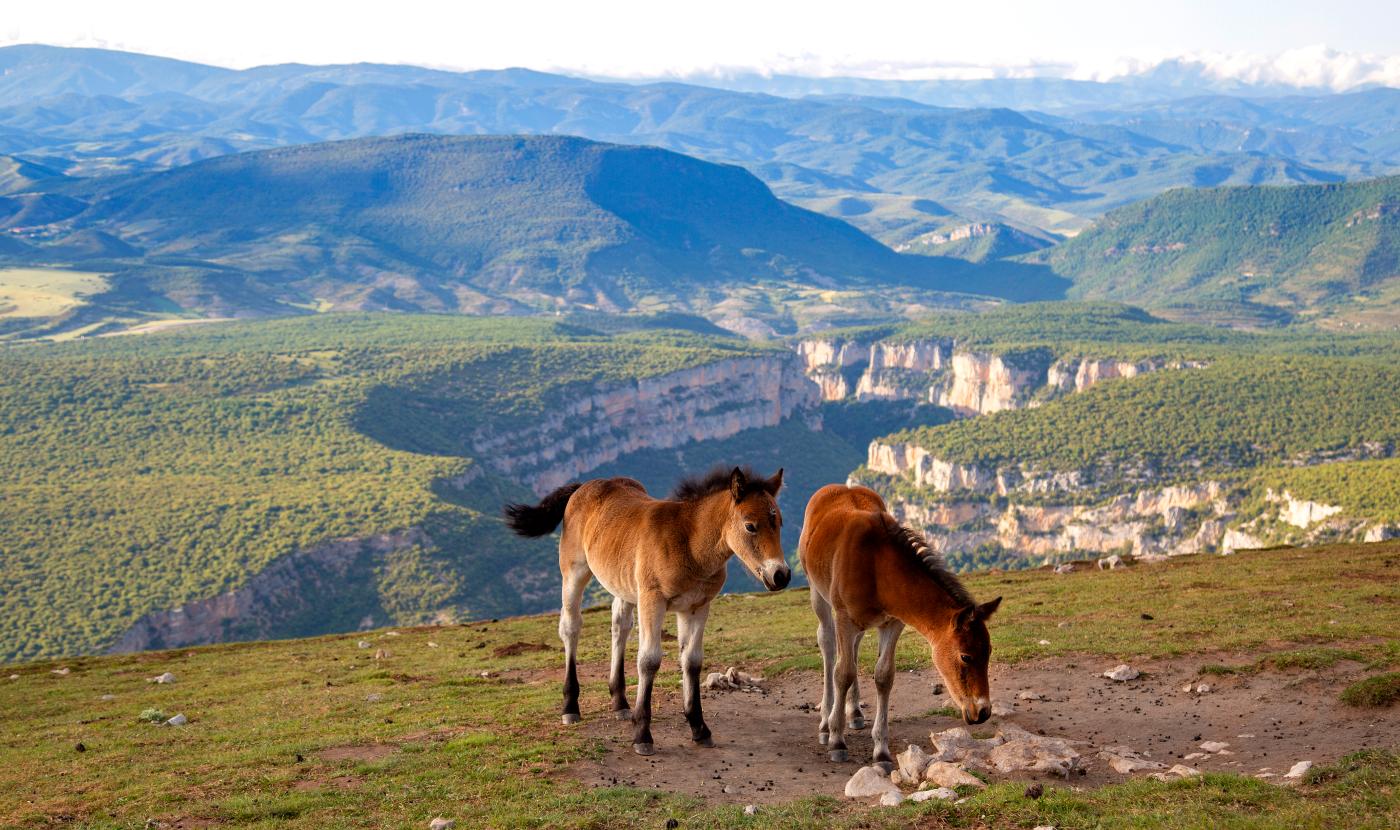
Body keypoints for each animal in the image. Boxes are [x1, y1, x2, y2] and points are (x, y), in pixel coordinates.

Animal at [504, 466, 790, 756]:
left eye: (779, 523)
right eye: (750, 526)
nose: (781, 575)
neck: (689, 542)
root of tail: (584, 486)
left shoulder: (697, 606)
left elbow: (692, 661)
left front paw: (699, 728)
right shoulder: (653, 600)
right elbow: (649, 660)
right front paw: (642, 734)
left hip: (623, 585)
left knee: (619, 625)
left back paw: (620, 703)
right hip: (574, 572)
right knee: (571, 627)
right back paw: (570, 707)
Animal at [798, 483, 1001, 767]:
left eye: (989, 651)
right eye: (966, 656)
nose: (982, 712)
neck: (875, 567)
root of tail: (839, 487)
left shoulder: (893, 623)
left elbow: (884, 676)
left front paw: (881, 752)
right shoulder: (844, 618)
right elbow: (843, 673)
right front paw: (837, 741)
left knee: (854, 649)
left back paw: (855, 713)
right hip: (819, 594)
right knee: (828, 647)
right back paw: (826, 725)